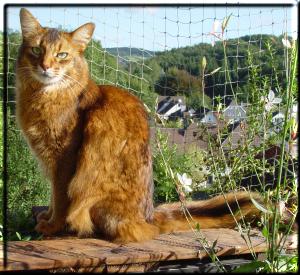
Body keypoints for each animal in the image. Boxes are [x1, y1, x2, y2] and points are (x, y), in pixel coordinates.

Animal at [16, 7, 264, 244]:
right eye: (37, 50)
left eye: (62, 55)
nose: (45, 67)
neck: (41, 96)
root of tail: (149, 217)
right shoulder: (51, 162)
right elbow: (52, 198)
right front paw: (46, 216)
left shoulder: (64, 161)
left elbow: (60, 199)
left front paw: (52, 226)